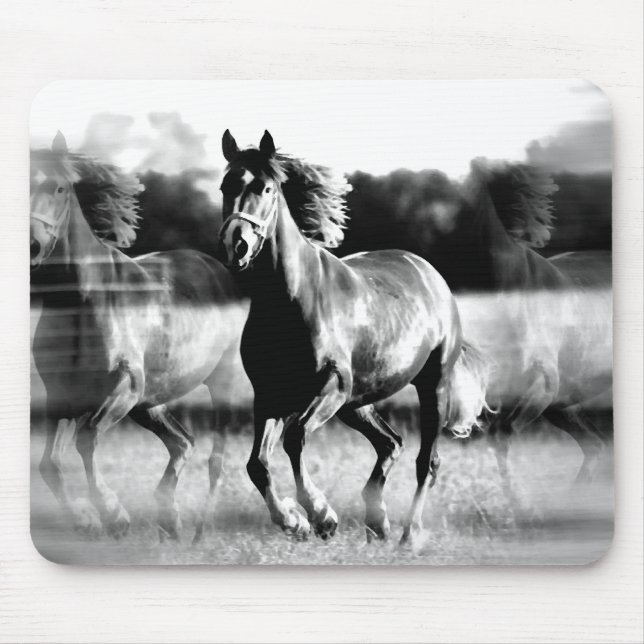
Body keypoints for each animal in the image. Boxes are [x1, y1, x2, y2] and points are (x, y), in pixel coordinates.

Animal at [30, 132, 248, 540]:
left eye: (60, 187)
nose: (32, 246)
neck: (82, 300)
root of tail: (216, 267)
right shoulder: (62, 395)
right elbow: (50, 464)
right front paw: (87, 520)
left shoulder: (125, 385)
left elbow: (87, 438)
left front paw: (114, 515)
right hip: (151, 402)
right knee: (183, 442)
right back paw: (170, 519)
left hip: (216, 382)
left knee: (216, 459)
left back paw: (197, 531)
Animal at [216, 130, 490, 544]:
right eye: (224, 186)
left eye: (265, 188)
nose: (238, 245)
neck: (292, 300)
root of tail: (430, 274)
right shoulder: (269, 396)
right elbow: (257, 465)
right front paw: (293, 521)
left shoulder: (332, 385)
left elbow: (295, 437)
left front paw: (320, 515)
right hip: (357, 402)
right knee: (391, 443)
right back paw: (378, 522)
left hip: (429, 387)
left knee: (427, 461)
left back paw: (409, 536)